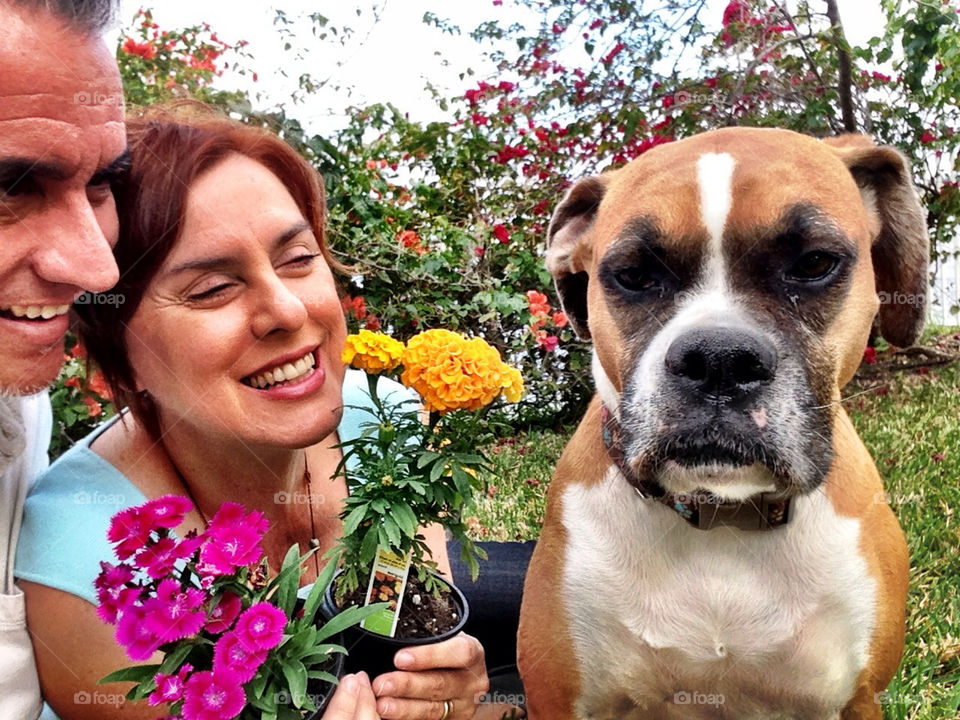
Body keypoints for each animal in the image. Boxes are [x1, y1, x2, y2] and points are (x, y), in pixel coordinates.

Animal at [520, 129, 928, 720]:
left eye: (814, 263)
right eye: (634, 275)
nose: (718, 359)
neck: (723, 514)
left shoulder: (856, 700)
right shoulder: (559, 700)